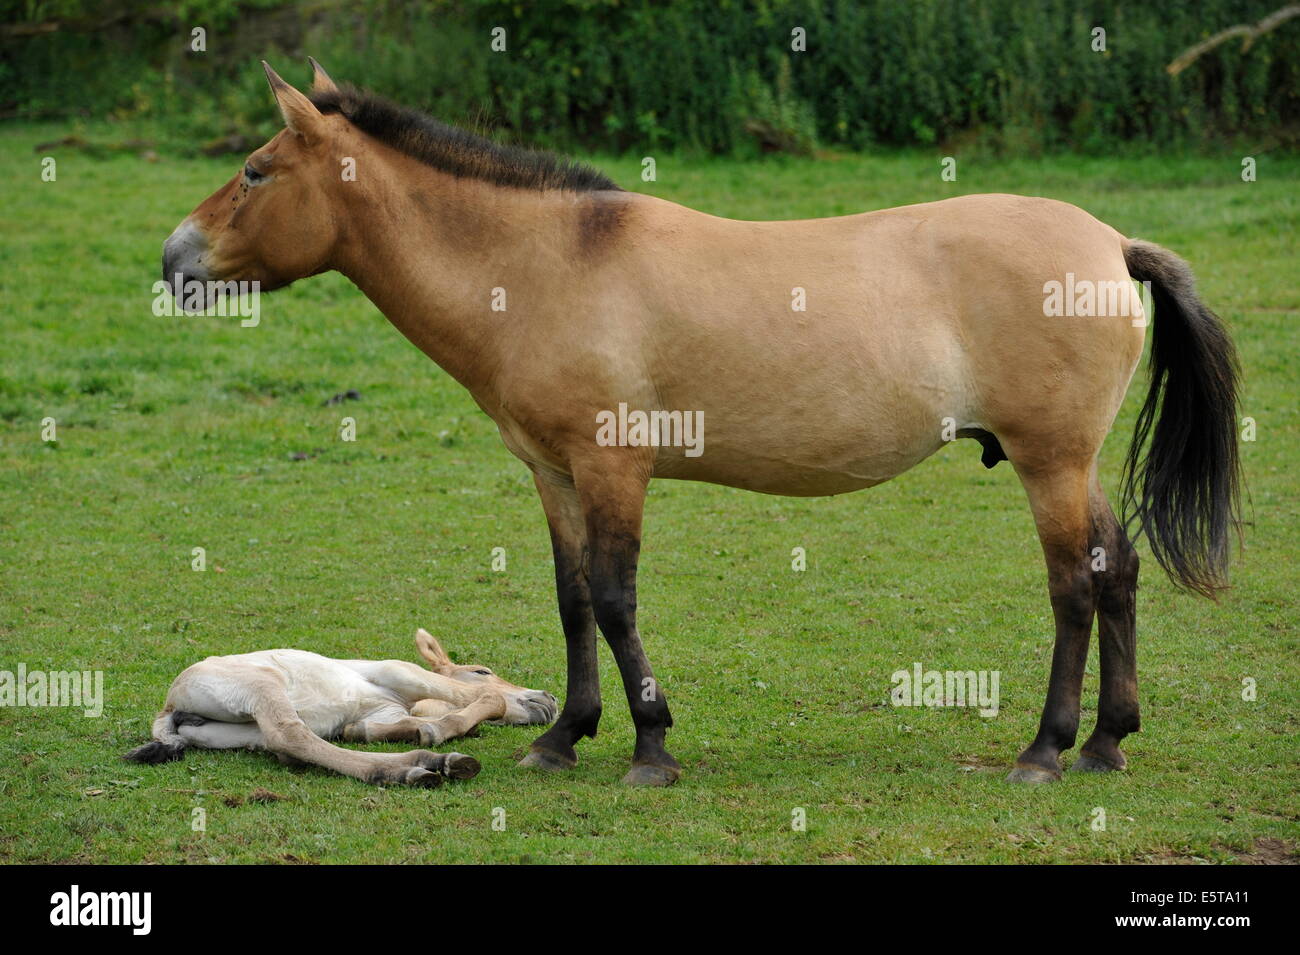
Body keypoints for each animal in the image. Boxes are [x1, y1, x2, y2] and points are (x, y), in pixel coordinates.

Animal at [124, 629, 558, 786]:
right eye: (482, 670)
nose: (549, 699)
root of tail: (168, 705)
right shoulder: (400, 671)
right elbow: (485, 700)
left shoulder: (382, 714)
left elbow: (378, 728)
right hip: (262, 686)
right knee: (290, 735)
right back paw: (412, 768)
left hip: (236, 730)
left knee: (288, 746)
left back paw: (424, 764)